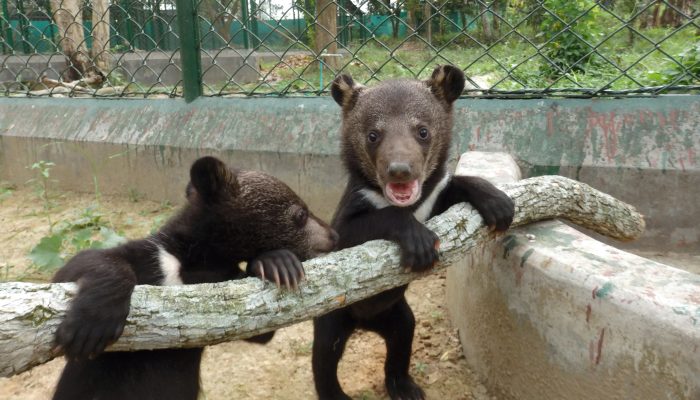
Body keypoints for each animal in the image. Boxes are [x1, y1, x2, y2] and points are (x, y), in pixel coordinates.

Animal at [51, 156, 338, 400]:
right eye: (301, 213)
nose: (334, 234)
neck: (196, 262)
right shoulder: (154, 257)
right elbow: (77, 266)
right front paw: (91, 325)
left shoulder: (222, 281)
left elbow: (258, 329)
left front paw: (276, 262)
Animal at [312, 65, 515, 400]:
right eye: (373, 135)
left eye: (422, 131)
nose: (399, 170)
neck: (408, 203)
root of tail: (365, 323)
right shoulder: (354, 207)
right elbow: (354, 230)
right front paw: (420, 244)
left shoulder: (432, 199)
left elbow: (453, 188)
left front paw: (498, 204)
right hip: (334, 314)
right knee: (325, 356)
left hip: (396, 313)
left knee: (403, 335)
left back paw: (405, 387)